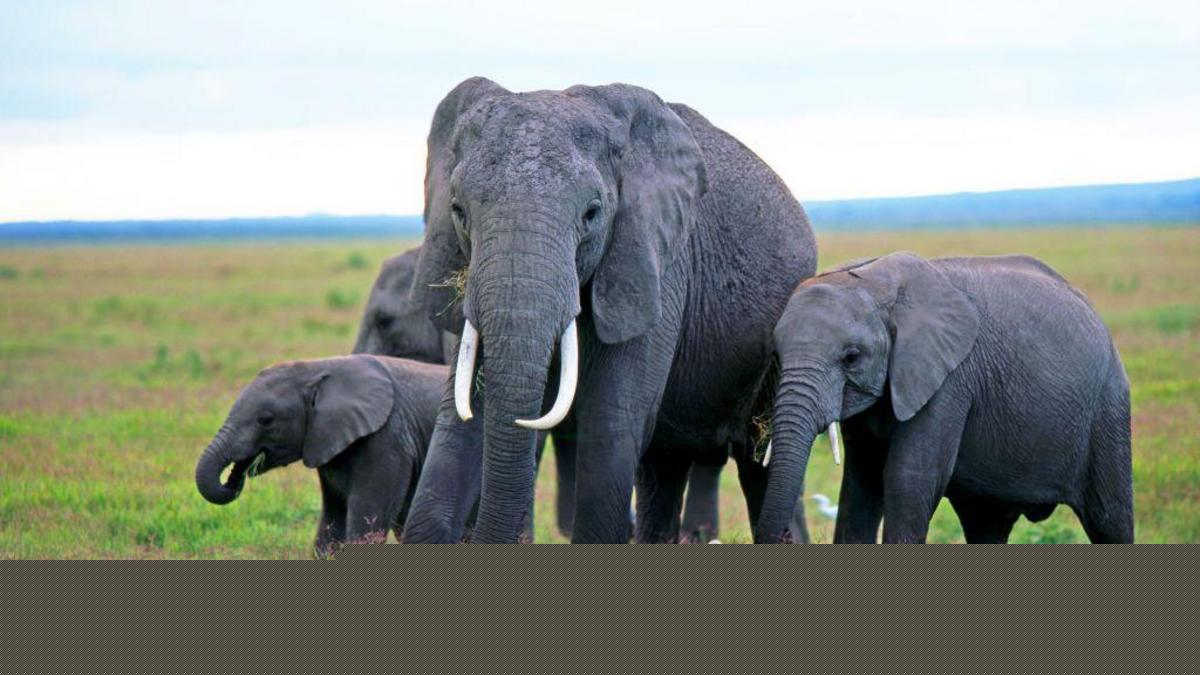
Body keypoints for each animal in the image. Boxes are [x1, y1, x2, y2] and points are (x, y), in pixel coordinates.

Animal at [194, 354, 457, 555]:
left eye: (266, 420)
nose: (233, 477)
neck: (317, 367)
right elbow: (331, 524)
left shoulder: (387, 440)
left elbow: (366, 525)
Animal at [401, 77, 816, 544]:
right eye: (457, 210)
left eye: (592, 213)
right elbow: (460, 417)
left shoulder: (654, 263)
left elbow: (612, 422)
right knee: (663, 468)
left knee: (758, 463)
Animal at [755, 252, 1134, 544]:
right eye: (776, 354)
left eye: (851, 356)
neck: (873, 281)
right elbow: (860, 484)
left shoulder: (949, 379)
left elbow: (908, 480)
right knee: (987, 526)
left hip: (1108, 407)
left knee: (1110, 521)